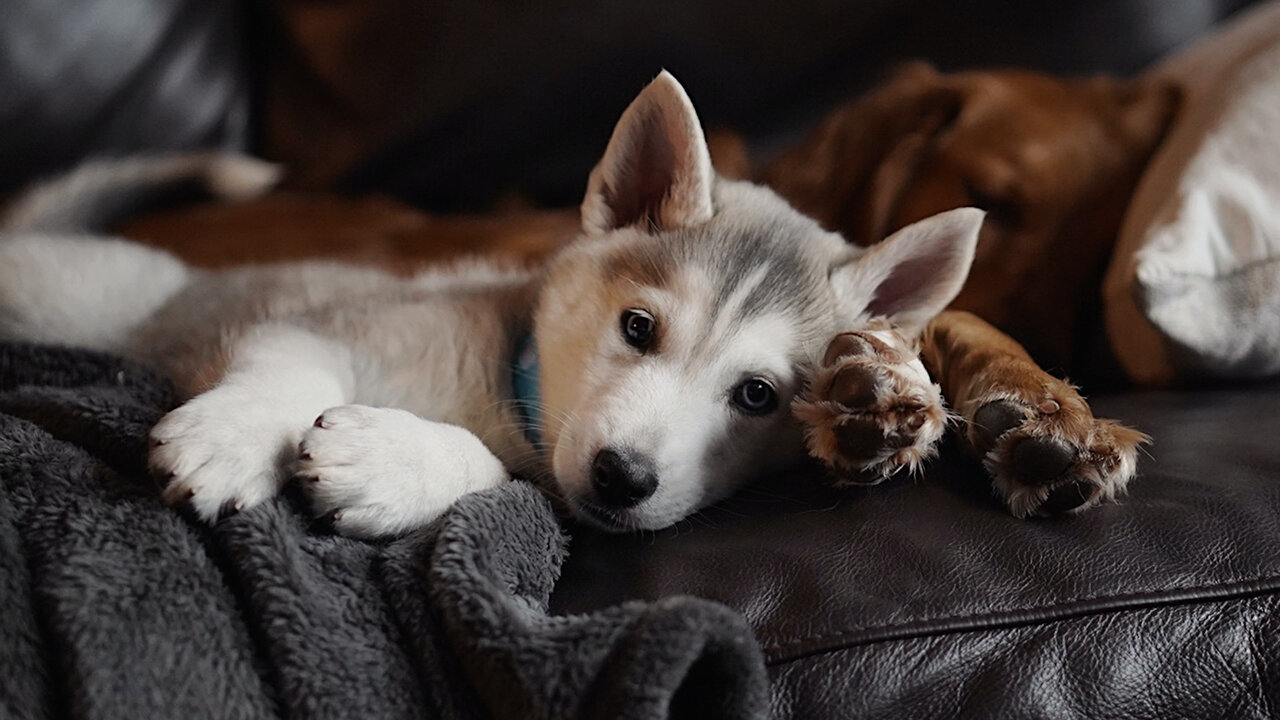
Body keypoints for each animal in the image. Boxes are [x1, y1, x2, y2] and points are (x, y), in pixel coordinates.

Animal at [0, 73, 977, 535]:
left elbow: (501, 477)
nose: (623, 479)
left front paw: (391, 462)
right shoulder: (322, 320)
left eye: (758, 396)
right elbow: (290, 367)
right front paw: (234, 438)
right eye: (638, 327)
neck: (506, 384)